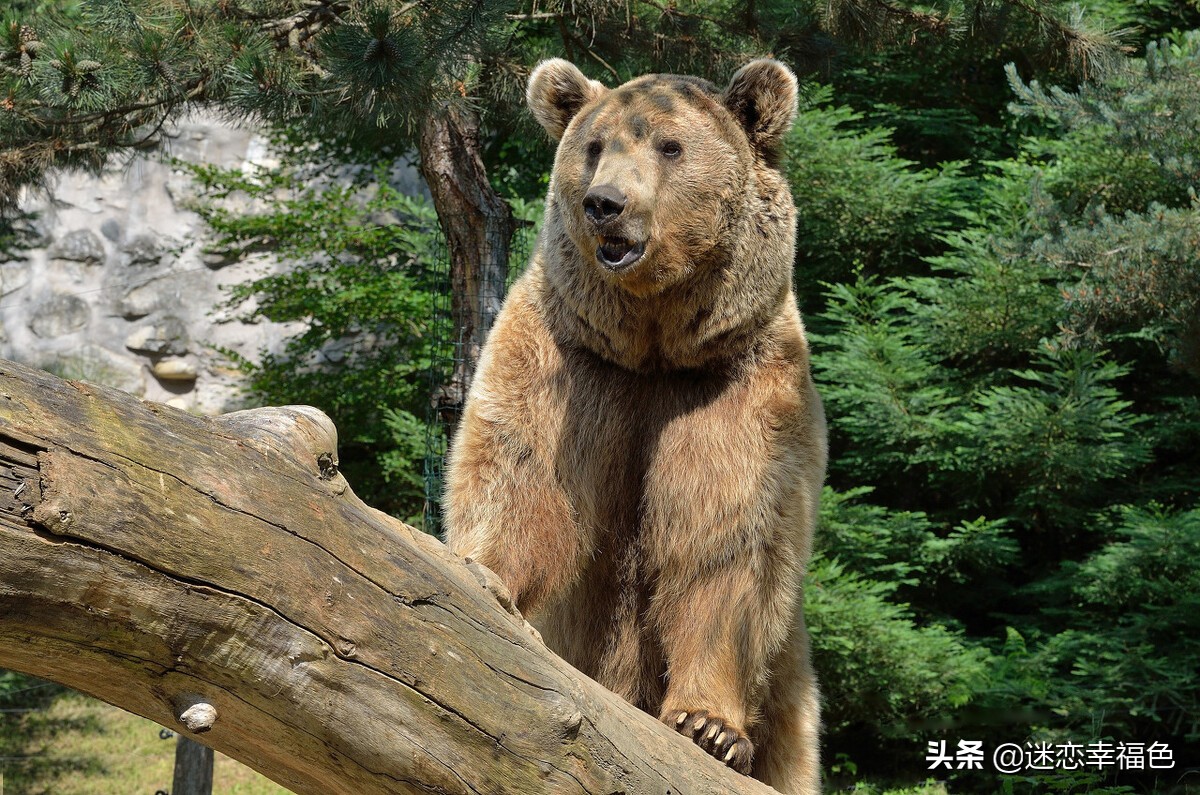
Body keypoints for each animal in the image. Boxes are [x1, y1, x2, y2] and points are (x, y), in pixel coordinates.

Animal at [443, 57, 826, 795]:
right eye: (594, 147)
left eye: (671, 147)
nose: (605, 204)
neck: (654, 344)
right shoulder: (569, 355)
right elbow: (525, 478)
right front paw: (487, 576)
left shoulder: (736, 383)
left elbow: (728, 535)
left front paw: (709, 727)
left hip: (792, 707)